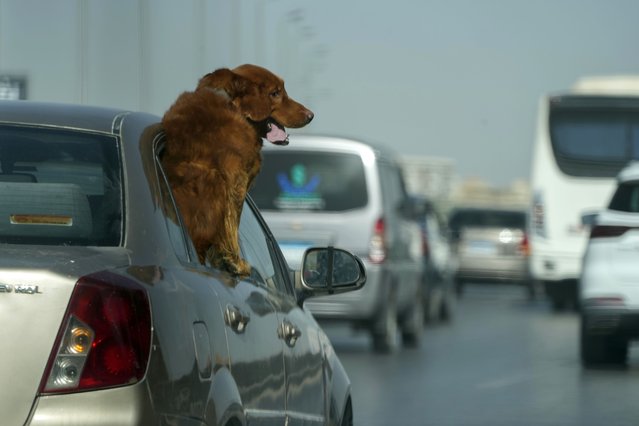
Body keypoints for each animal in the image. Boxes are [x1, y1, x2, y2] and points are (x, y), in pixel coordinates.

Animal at [162, 63, 316, 276]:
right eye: (275, 93)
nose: (311, 115)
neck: (233, 107)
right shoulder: (235, 182)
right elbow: (232, 225)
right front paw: (236, 262)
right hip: (211, 178)